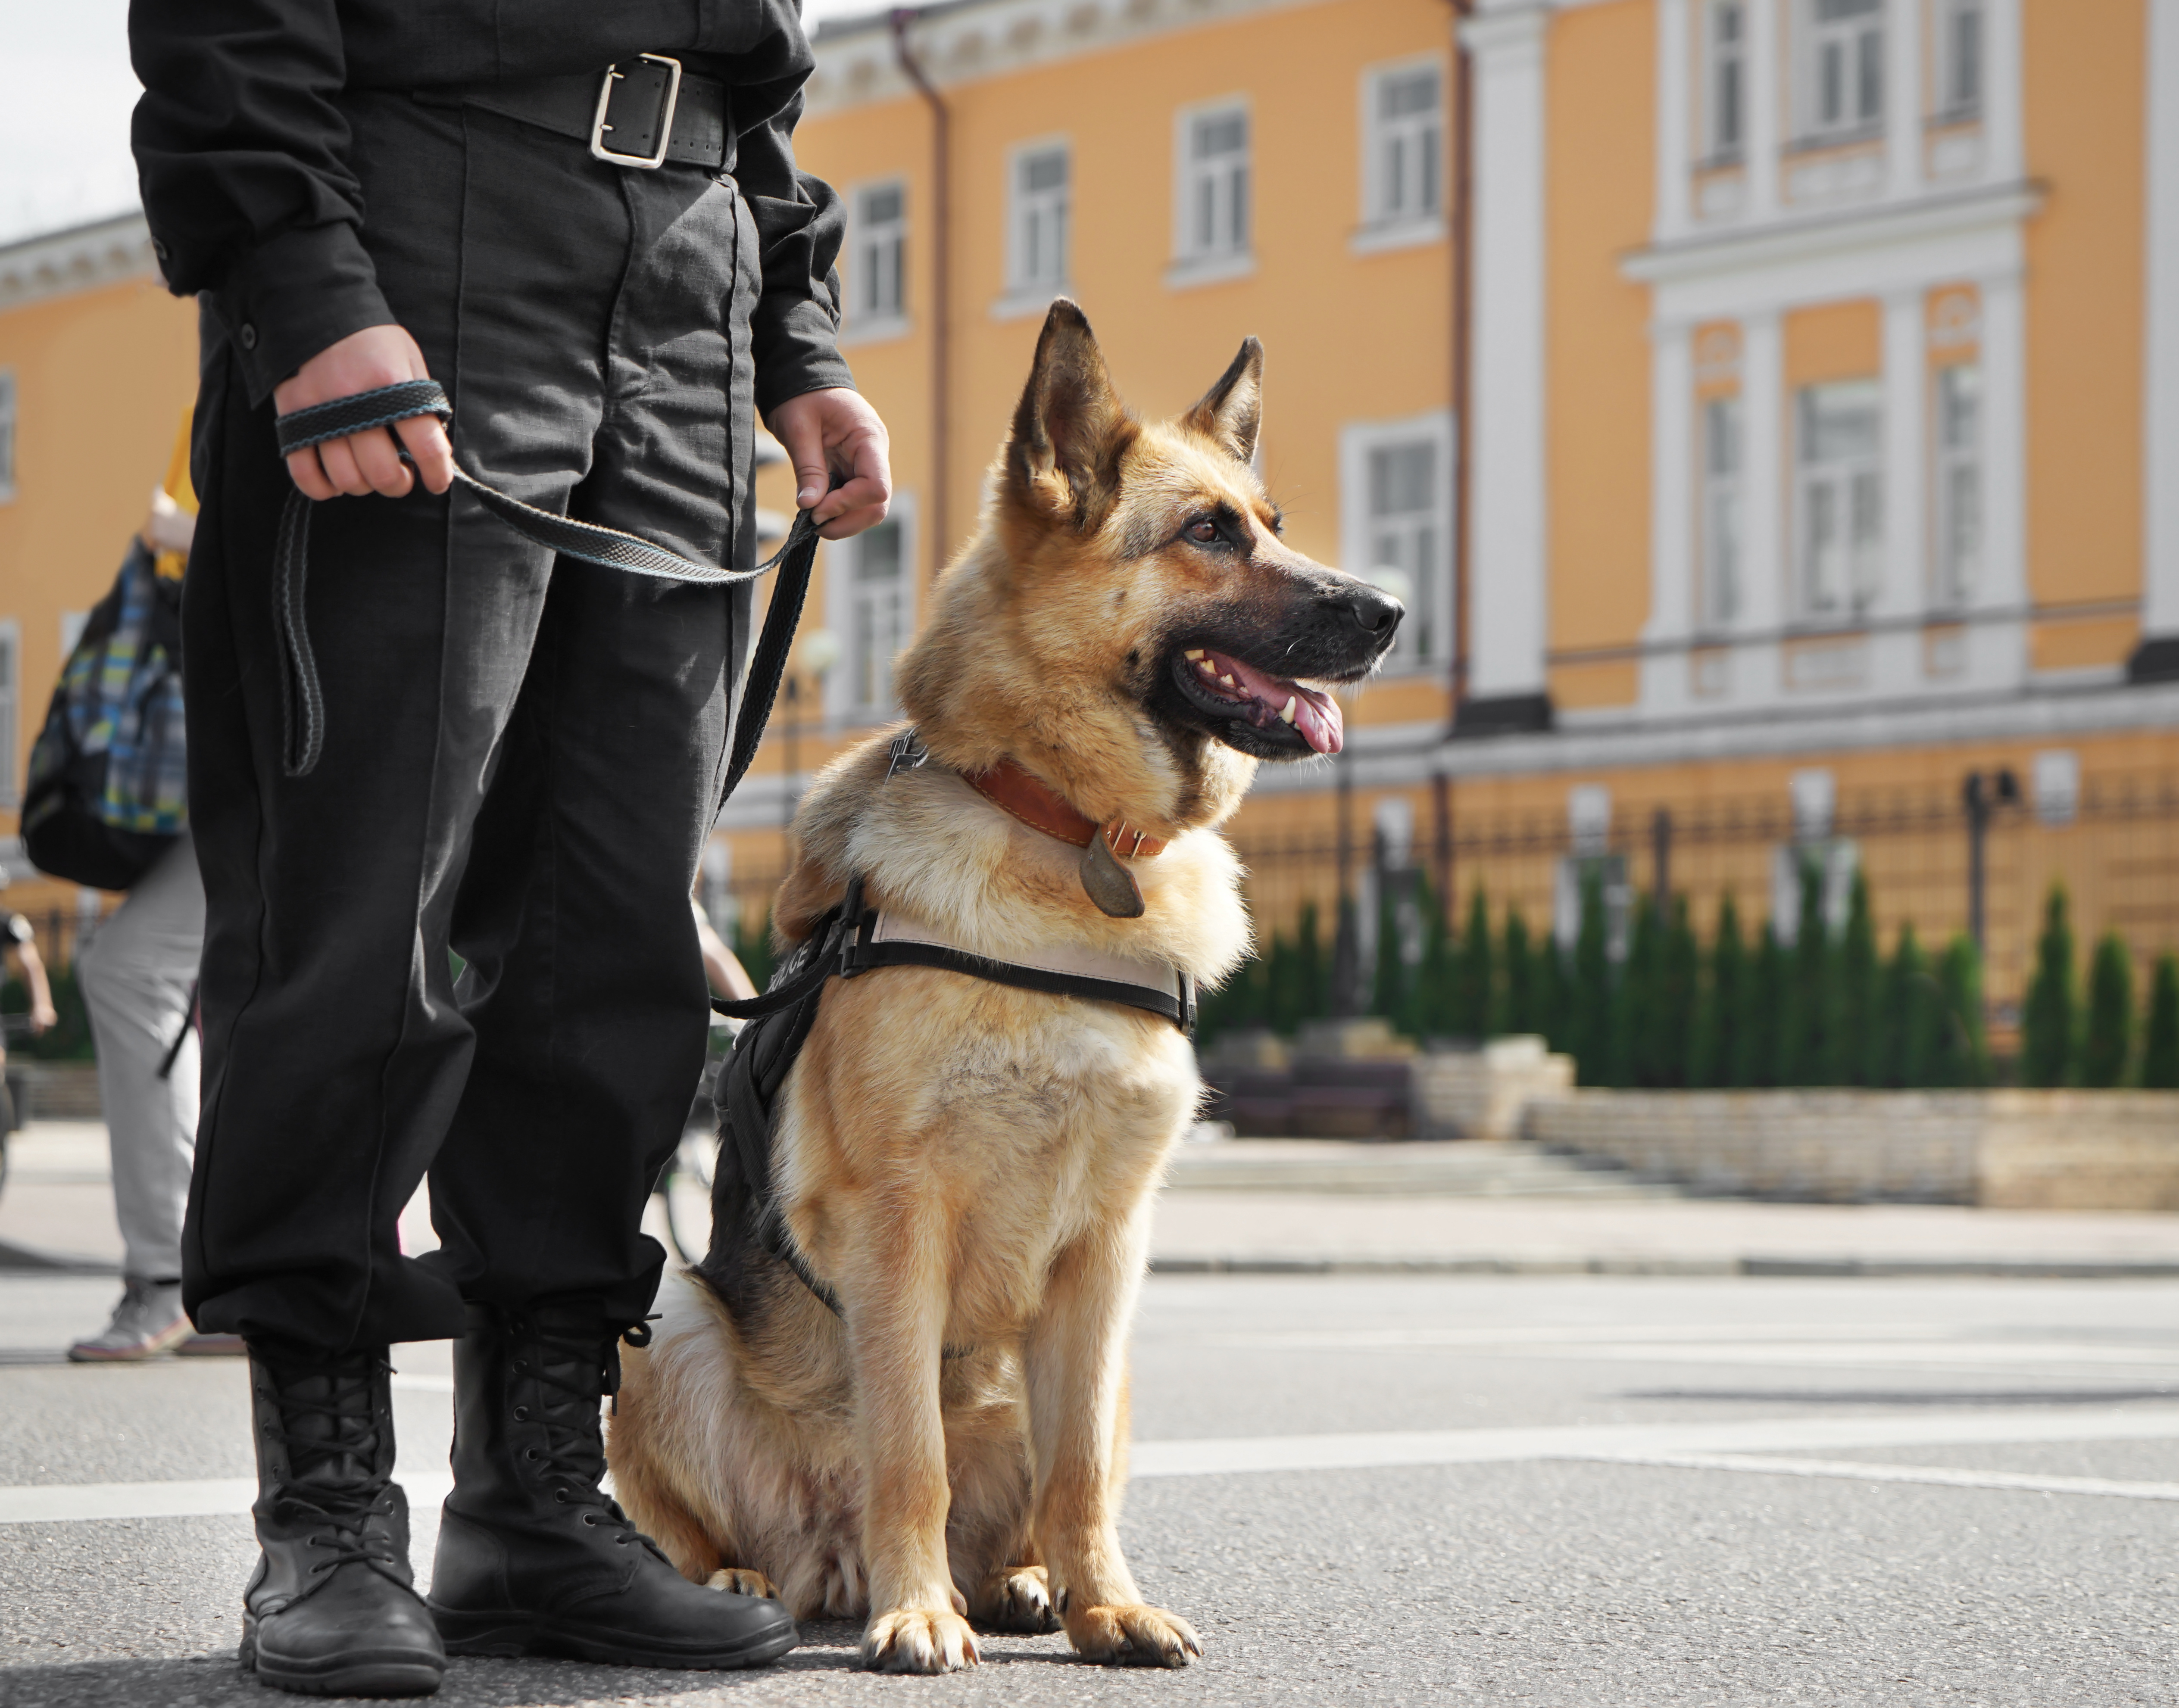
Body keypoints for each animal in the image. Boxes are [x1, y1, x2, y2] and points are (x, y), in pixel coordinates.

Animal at [606, 300, 1403, 1673]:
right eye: (1207, 534)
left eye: (1271, 522)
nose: (1394, 608)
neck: (1068, 835)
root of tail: (820, 1562)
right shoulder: (899, 1223)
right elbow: (908, 1447)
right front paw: (917, 1610)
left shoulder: (1110, 1249)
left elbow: (1076, 1466)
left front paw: (1106, 1603)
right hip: (657, 1317)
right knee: (717, 1521)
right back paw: (756, 1581)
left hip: (1122, 1363)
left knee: (1042, 1488)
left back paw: (1025, 1581)